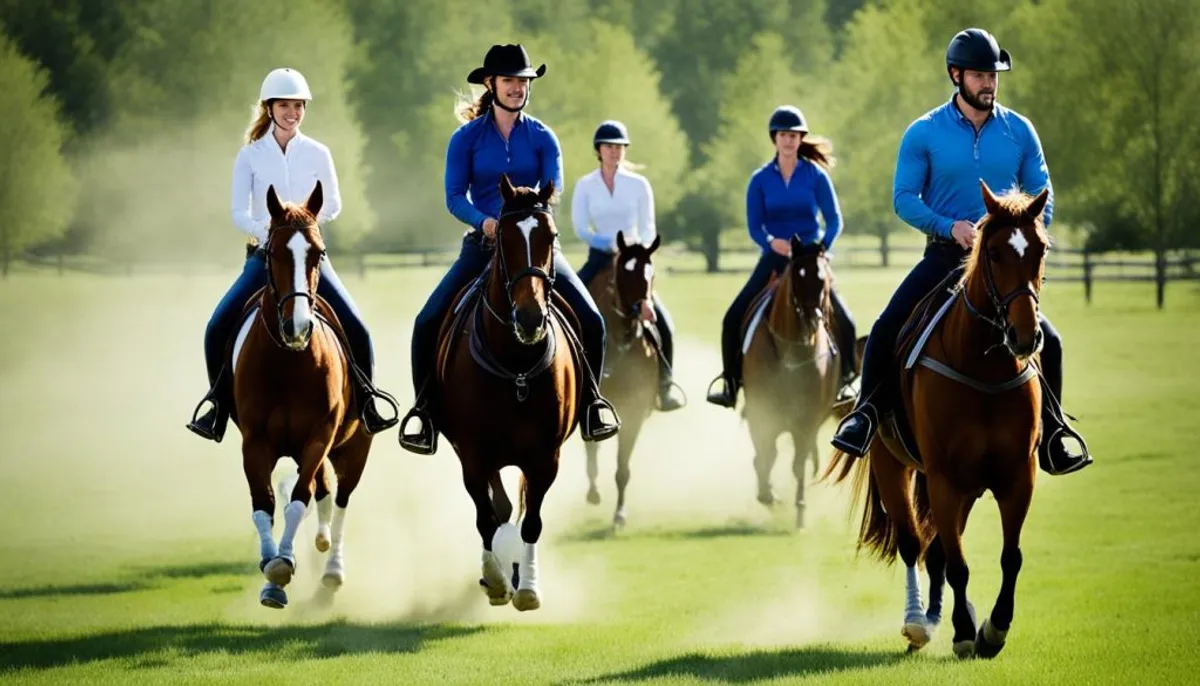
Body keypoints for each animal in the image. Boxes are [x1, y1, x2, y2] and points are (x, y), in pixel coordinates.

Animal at [230, 183, 369, 611]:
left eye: (318, 253)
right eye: (273, 253)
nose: (298, 327)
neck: (289, 362)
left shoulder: (318, 438)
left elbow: (297, 499)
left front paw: (283, 564)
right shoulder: (255, 441)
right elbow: (264, 502)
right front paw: (269, 568)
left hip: (354, 449)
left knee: (339, 500)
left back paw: (333, 569)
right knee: (323, 493)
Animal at [434, 172, 578, 611]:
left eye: (550, 235)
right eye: (504, 238)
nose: (530, 318)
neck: (516, 367)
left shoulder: (545, 457)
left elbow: (531, 521)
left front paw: (527, 586)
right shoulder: (473, 454)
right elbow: (487, 516)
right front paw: (496, 580)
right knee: (498, 508)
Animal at [585, 230, 672, 530]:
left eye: (651, 272)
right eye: (624, 271)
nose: (645, 312)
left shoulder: (634, 411)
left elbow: (623, 469)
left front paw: (619, 515)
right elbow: (592, 451)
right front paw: (594, 492)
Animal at [739, 237, 844, 530]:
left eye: (823, 278)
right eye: (798, 276)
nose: (812, 320)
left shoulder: (807, 419)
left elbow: (797, 463)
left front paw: (799, 510)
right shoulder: (761, 414)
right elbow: (765, 456)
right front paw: (769, 496)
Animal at [825, 182, 1051, 657]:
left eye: (1040, 249)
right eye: (994, 253)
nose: (1025, 336)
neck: (984, 369)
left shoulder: (1017, 477)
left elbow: (1009, 556)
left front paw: (994, 628)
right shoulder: (946, 478)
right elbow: (957, 563)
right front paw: (964, 631)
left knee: (938, 551)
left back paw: (935, 616)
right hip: (895, 466)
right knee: (915, 545)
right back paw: (918, 622)